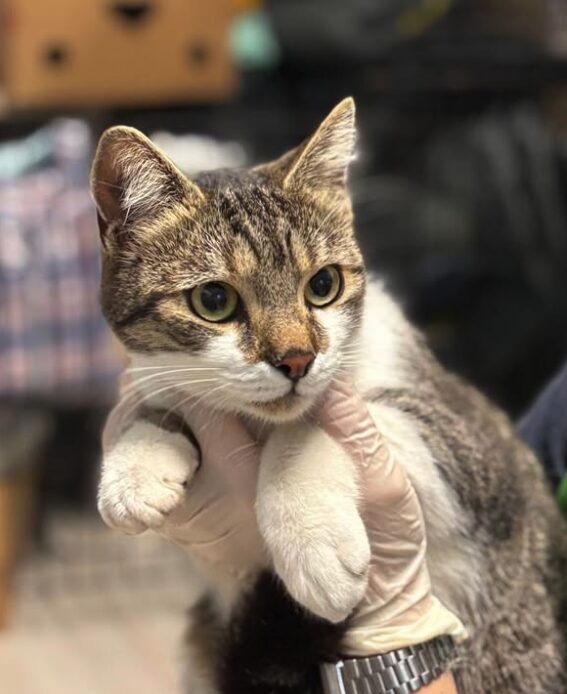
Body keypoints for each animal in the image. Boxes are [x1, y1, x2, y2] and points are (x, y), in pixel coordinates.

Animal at [92, 99, 567, 694]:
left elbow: (320, 423)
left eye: (323, 285)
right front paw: (135, 463)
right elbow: (160, 400)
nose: (297, 359)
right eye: (214, 299)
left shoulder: (473, 447)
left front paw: (312, 538)